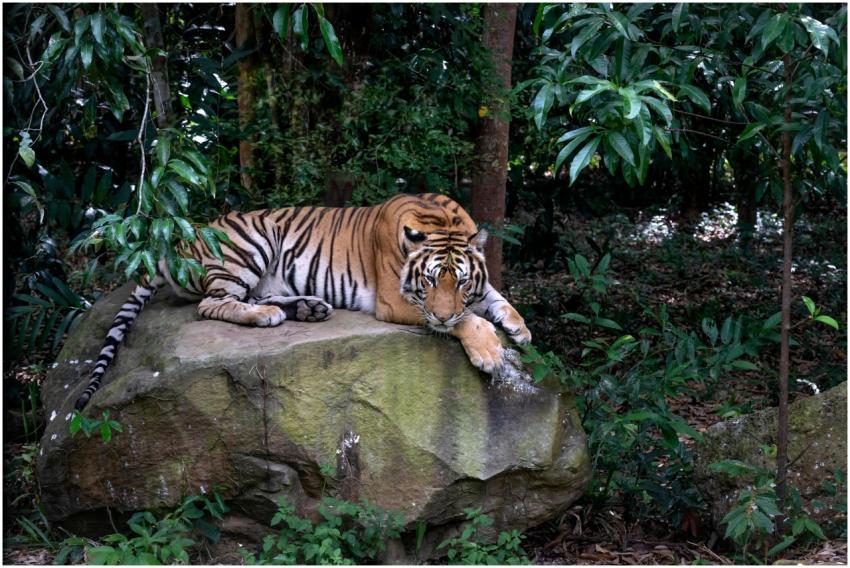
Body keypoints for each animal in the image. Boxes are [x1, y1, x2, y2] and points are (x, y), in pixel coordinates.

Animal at [74, 193, 532, 411]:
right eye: (431, 281)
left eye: (462, 281)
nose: (443, 311)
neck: (441, 221)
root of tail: (188, 236)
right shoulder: (395, 301)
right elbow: (466, 320)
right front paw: (489, 351)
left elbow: (494, 298)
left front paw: (519, 328)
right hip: (252, 243)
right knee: (213, 304)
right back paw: (267, 316)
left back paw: (309, 308)